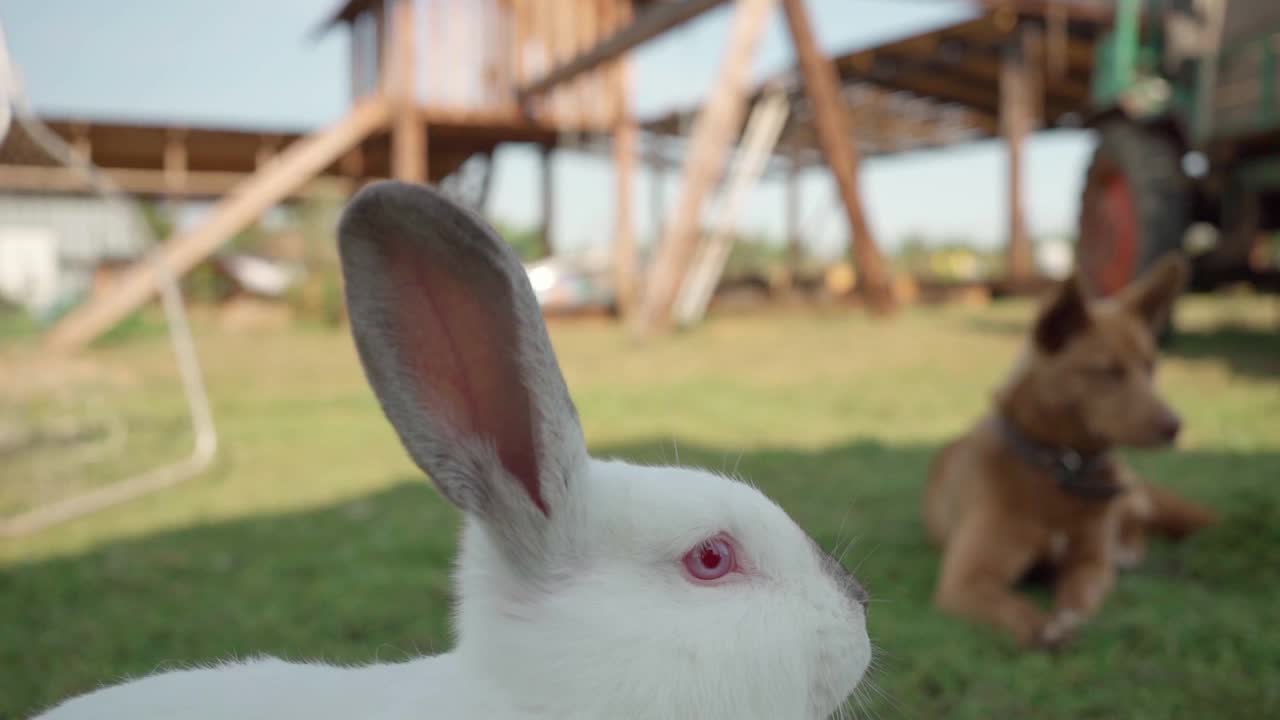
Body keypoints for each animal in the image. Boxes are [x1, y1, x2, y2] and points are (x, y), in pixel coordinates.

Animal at [926, 254, 1213, 648]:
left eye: (1151, 367)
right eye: (1107, 372)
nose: (1175, 426)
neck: (1061, 470)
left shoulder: (1090, 564)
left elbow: (1078, 595)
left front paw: (1067, 617)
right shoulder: (966, 579)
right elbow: (1014, 608)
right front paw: (1043, 626)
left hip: (1125, 498)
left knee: (1138, 519)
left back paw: (1128, 551)